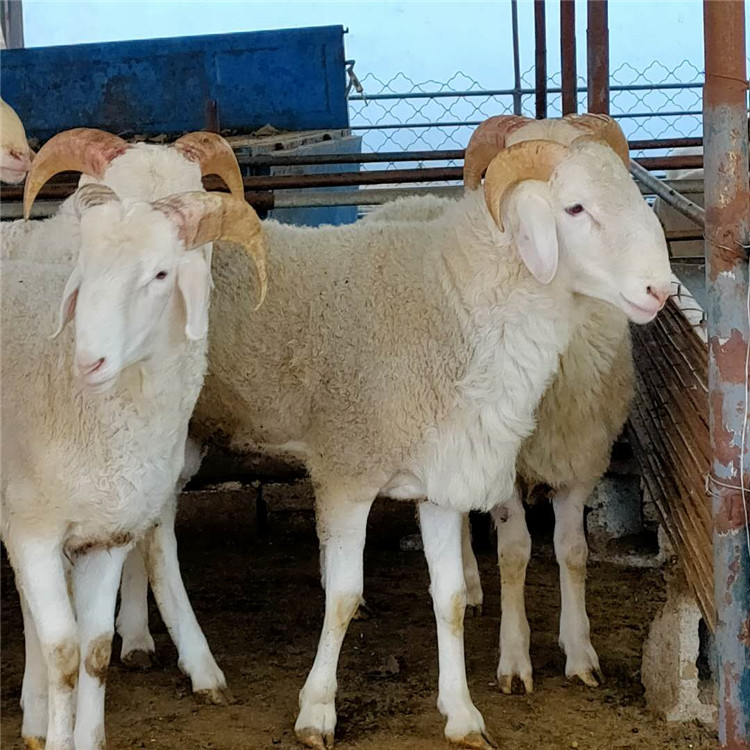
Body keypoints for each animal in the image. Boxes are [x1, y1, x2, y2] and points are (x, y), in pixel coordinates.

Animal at [1, 134, 268, 750]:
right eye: (85, 260)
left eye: (163, 273)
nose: (90, 361)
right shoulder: (33, 528)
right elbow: (62, 650)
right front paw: (49, 726)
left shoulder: (111, 524)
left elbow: (93, 650)